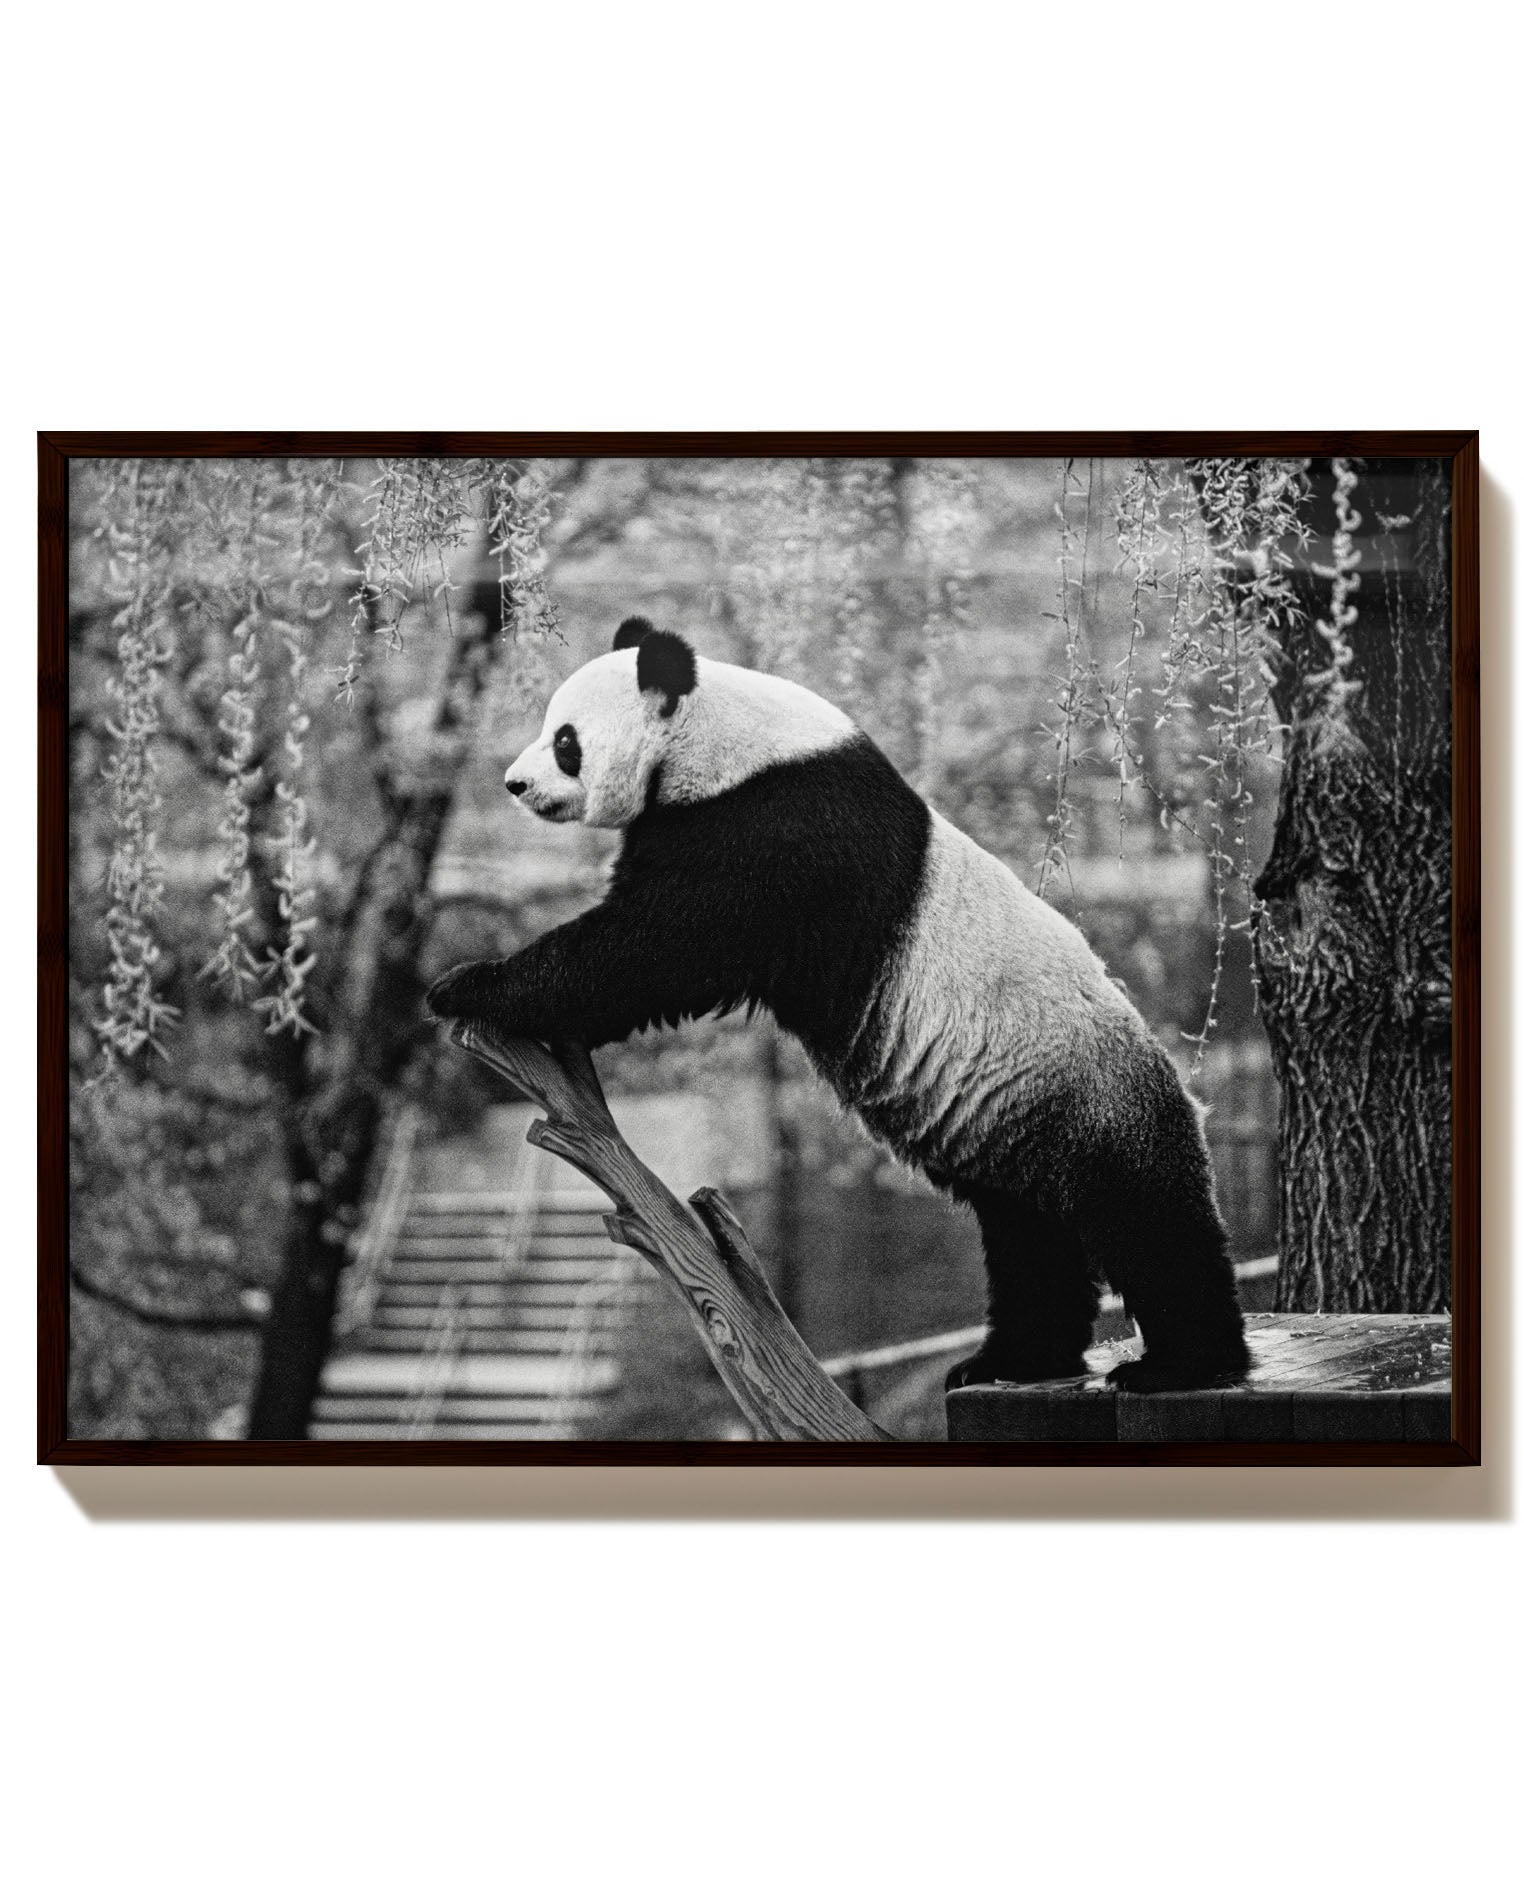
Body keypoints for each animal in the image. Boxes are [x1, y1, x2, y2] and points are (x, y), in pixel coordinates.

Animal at [427, 616, 1250, 1394]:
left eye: (565, 741)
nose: (514, 784)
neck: (718, 738)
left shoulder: (773, 829)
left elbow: (654, 948)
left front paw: (466, 984)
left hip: (1089, 1099)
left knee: (1147, 1223)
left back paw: (1184, 1365)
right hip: (1015, 1125)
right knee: (1029, 1241)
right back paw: (1013, 1358)